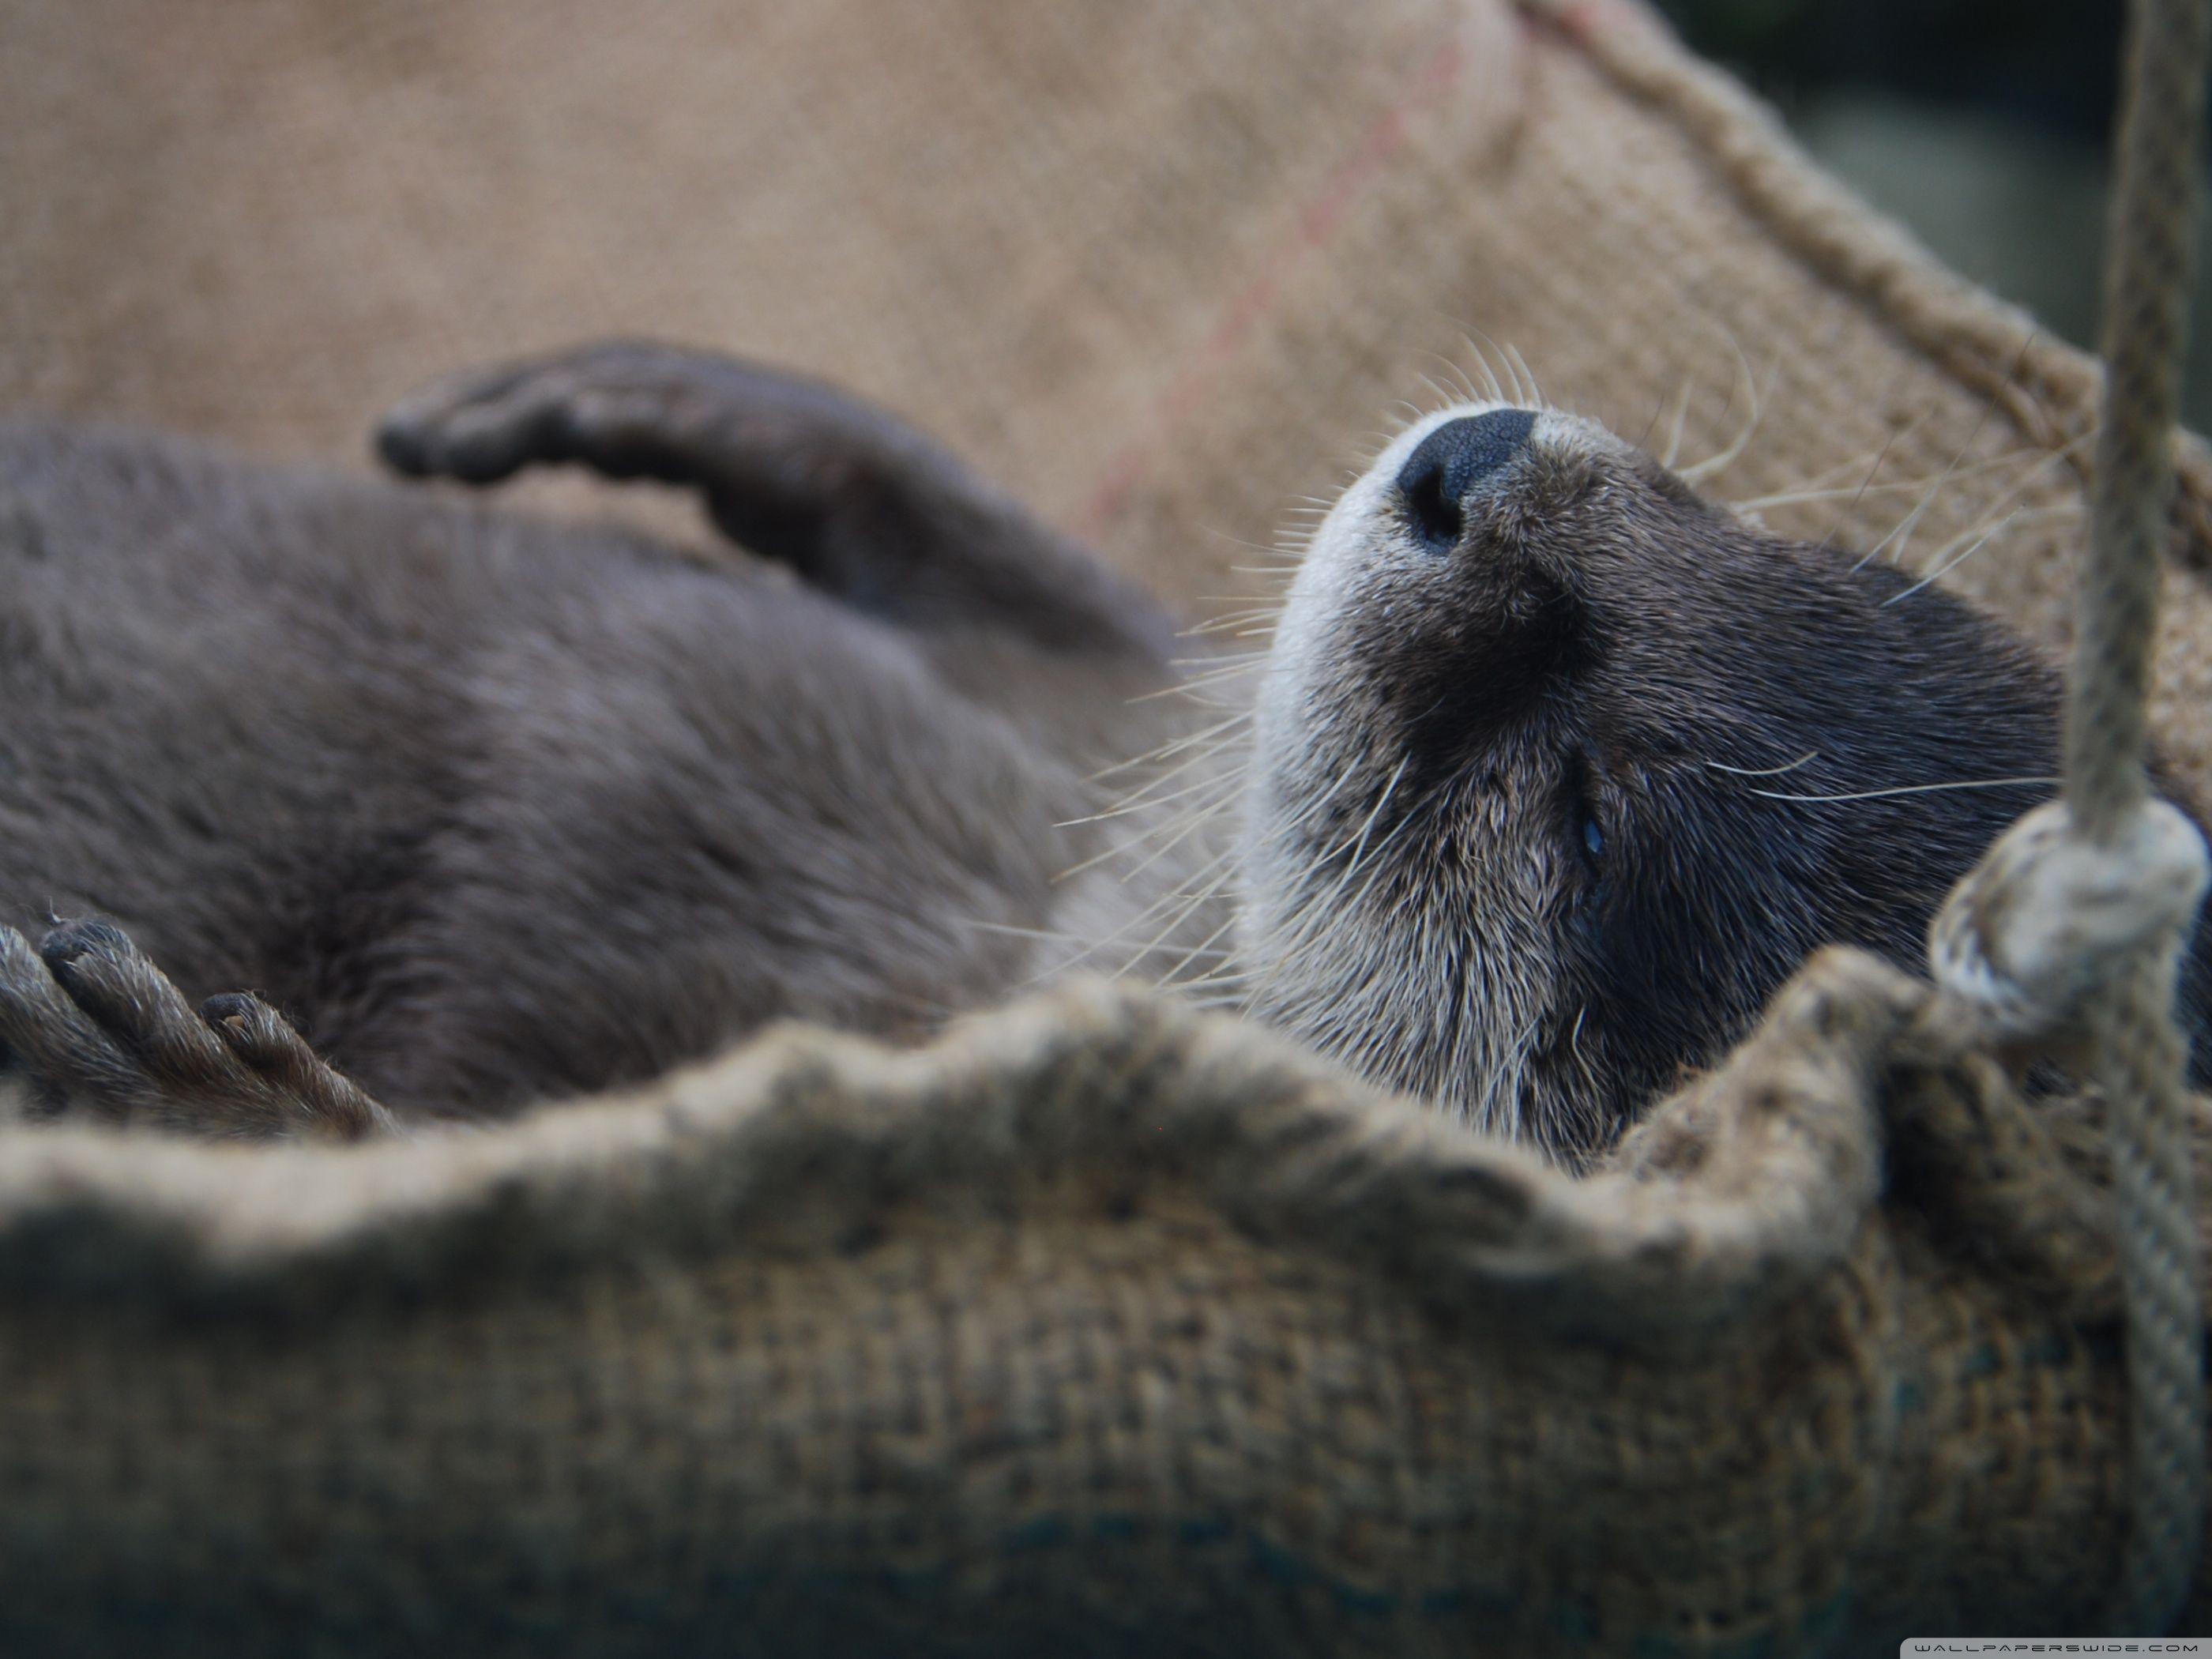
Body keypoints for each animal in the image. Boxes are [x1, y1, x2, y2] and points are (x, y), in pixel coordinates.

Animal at [0, 342, 2204, 1161]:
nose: (1471, 475)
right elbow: (1046, 603)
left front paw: (199, 1099)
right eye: (1788, 549)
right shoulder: (1050, 736)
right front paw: (689, 402)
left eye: (1589, 827)